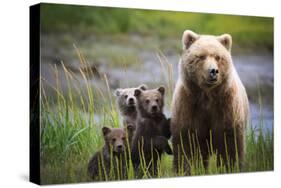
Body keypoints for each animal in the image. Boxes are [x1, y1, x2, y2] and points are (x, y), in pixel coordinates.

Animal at [170, 30, 248, 174]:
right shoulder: (189, 105)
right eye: (201, 56)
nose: (213, 71)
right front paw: (187, 169)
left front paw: (230, 167)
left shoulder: (226, 107)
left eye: (218, 57)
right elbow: (187, 145)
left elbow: (230, 146)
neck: (207, 95)